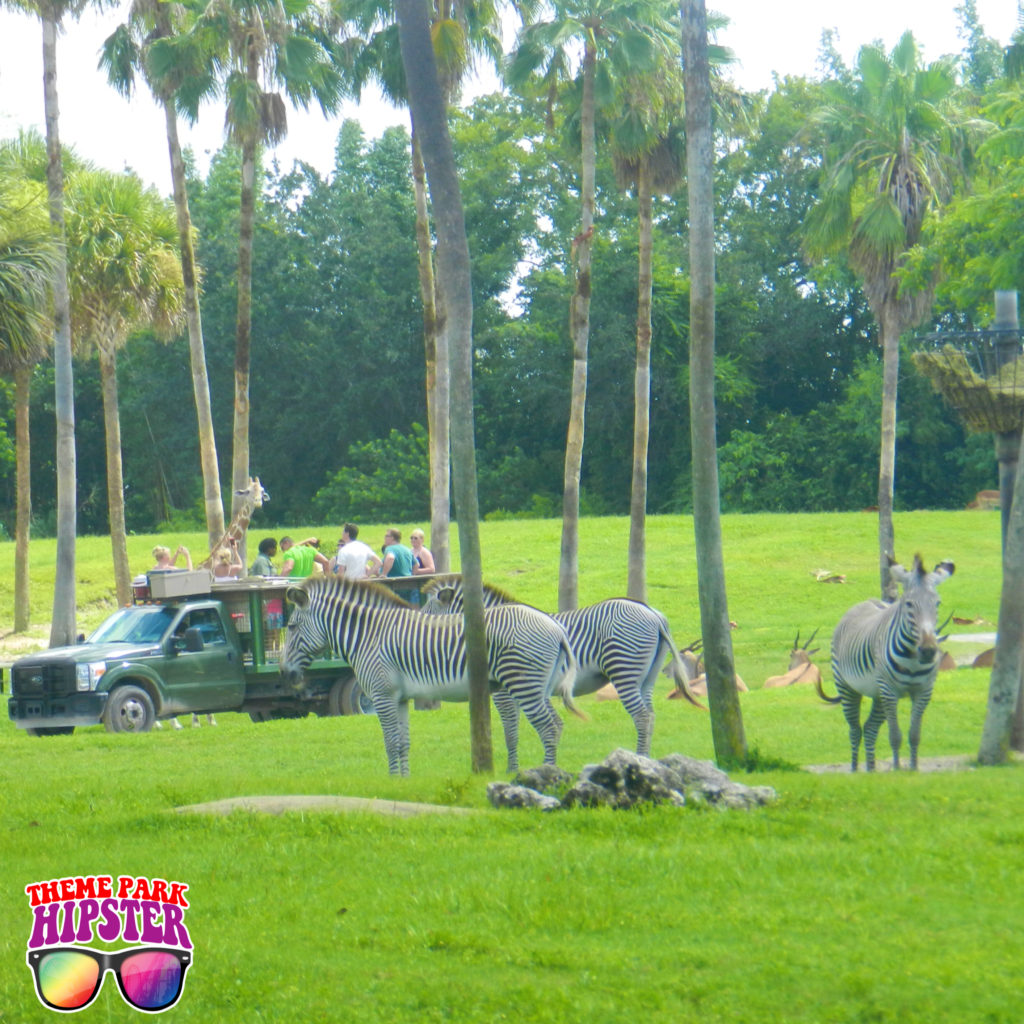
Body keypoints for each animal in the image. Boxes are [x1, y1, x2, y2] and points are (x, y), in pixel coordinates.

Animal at [280, 577, 581, 774]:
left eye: (292, 627)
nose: (284, 672)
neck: (369, 635)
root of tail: (556, 628)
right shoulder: (399, 697)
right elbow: (403, 742)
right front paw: (404, 781)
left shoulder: (381, 695)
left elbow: (390, 742)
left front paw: (392, 781)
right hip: (538, 687)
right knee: (556, 724)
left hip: (523, 684)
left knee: (548, 727)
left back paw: (547, 775)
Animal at [419, 577, 700, 761]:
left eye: (428, 615)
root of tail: (652, 613)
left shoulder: (504, 693)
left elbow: (510, 729)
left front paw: (512, 769)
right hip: (647, 678)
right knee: (650, 715)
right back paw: (646, 761)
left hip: (624, 671)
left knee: (642, 716)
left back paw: (640, 758)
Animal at [819, 557, 954, 770]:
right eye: (908, 604)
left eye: (937, 603)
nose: (928, 651)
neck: (913, 661)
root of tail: (865, 601)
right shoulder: (890, 691)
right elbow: (895, 736)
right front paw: (897, 770)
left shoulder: (923, 691)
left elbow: (914, 735)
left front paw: (913, 769)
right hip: (848, 687)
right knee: (855, 730)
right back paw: (855, 770)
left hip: (878, 695)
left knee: (869, 728)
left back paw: (871, 770)